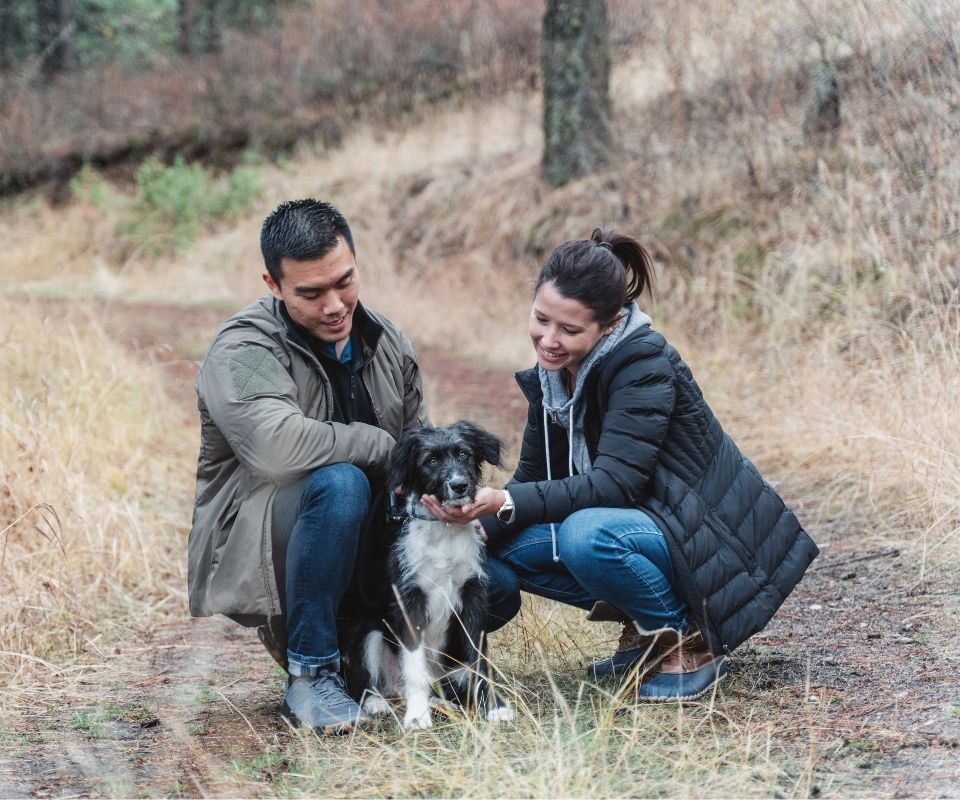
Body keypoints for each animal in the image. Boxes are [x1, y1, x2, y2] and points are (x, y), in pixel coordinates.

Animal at [342, 422, 512, 728]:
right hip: (367, 631)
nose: (459, 485)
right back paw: (377, 702)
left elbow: (480, 660)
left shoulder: (473, 594)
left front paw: (494, 707)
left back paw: (441, 703)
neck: (444, 530)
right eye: (430, 461)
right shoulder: (410, 599)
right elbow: (414, 665)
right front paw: (417, 715)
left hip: (452, 668)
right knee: (372, 682)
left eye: (464, 454)